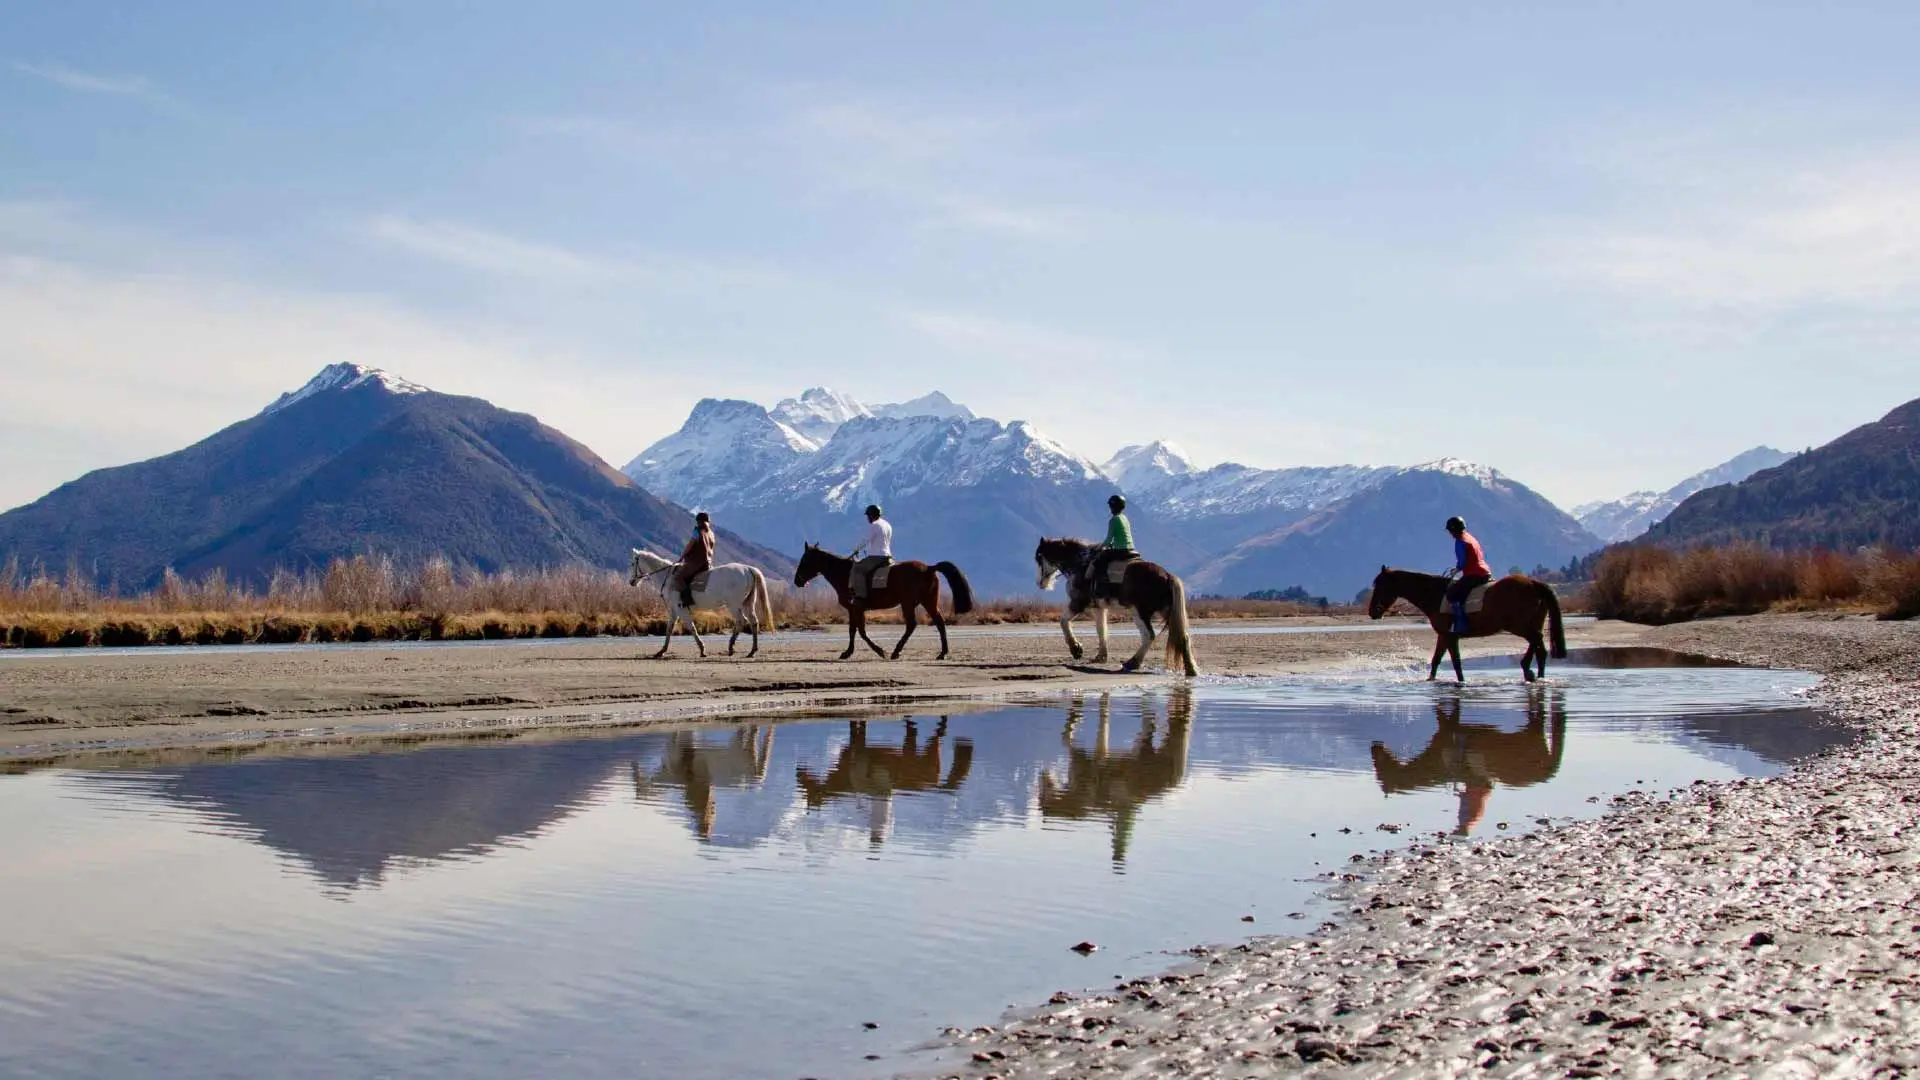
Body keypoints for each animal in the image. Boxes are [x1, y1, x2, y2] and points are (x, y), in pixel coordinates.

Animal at [629, 548, 776, 659]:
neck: (668, 577)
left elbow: (691, 627)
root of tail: (748, 569)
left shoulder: (680, 609)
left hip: (734, 605)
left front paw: (702, 650)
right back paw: (752, 651)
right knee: (753, 622)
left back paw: (731, 647)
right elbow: (669, 628)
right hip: (747, 603)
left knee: (741, 621)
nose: (631, 581)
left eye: (632, 563)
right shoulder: (673, 610)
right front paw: (661, 651)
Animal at [793, 544, 974, 660]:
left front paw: (878, 651)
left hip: (908, 603)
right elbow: (855, 630)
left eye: (805, 559)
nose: (797, 581)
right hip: (927, 601)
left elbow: (859, 631)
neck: (844, 573)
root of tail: (929, 568)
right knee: (939, 622)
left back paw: (896, 652)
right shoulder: (855, 609)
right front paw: (849, 652)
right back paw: (942, 653)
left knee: (912, 625)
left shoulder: (855, 607)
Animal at [1033, 537, 1200, 676]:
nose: (1040, 583)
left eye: (1039, 558)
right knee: (1183, 636)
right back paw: (1191, 669)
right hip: (1167, 611)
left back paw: (1132, 663)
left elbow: (1063, 622)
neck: (1080, 564)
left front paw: (1076, 649)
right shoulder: (1098, 608)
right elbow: (1101, 630)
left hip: (1139, 612)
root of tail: (1167, 576)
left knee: (1149, 635)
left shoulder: (1077, 603)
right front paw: (1100, 656)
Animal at [1366, 565, 1566, 682]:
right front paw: (1432, 681)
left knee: (1536, 639)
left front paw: (1460, 684)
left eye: (1380, 585)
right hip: (1532, 623)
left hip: (1518, 626)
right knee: (1540, 649)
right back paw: (1537, 675)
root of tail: (1533, 583)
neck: (1435, 594)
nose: (1372, 611)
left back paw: (1527, 669)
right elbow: (1437, 661)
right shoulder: (1444, 635)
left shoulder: (1449, 636)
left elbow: (1455, 662)